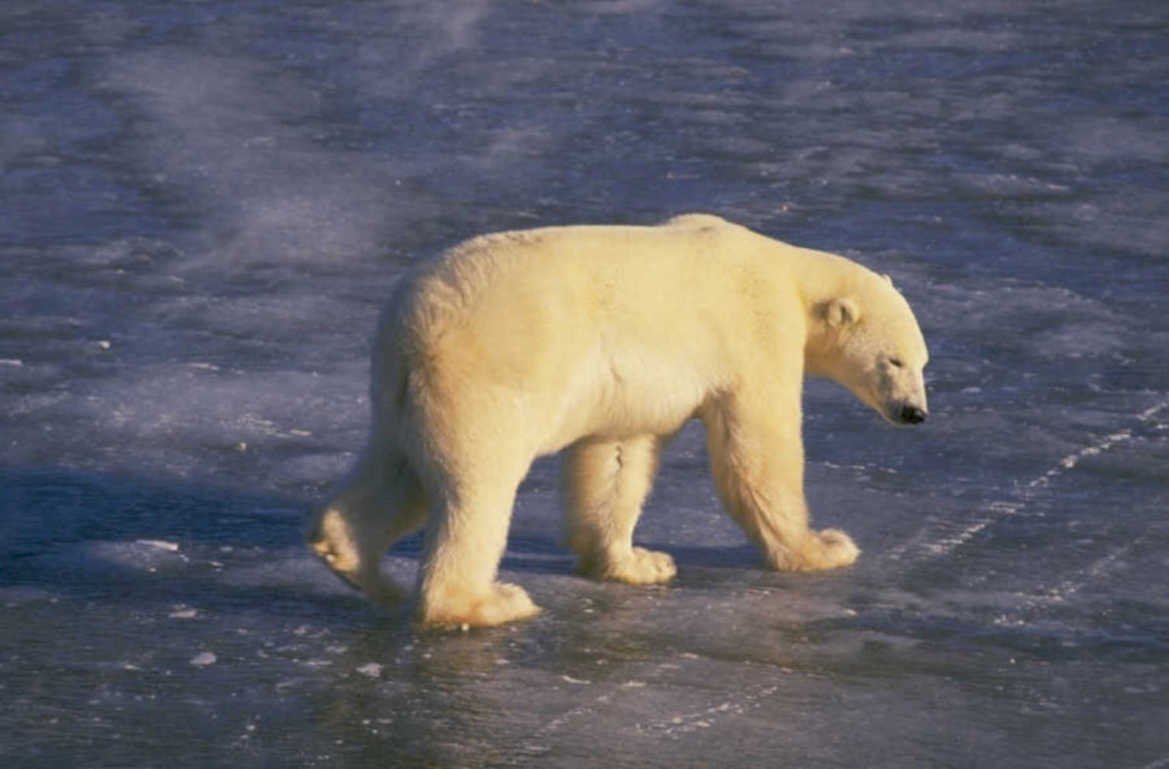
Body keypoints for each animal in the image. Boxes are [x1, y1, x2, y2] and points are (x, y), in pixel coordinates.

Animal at [308, 213, 929, 628]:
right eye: (894, 360)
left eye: (924, 363)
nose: (915, 412)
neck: (789, 274)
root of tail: (411, 326)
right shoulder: (756, 332)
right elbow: (757, 452)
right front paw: (822, 547)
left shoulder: (628, 390)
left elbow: (617, 457)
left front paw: (637, 563)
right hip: (485, 378)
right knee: (477, 489)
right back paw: (487, 602)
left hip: (403, 395)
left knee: (398, 472)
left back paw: (358, 563)